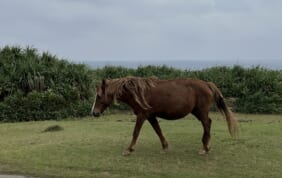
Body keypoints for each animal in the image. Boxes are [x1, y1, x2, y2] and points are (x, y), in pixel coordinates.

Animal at [91, 76, 237, 156]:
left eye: (99, 96)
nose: (94, 112)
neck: (138, 92)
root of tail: (207, 84)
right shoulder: (151, 116)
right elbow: (158, 130)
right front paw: (165, 147)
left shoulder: (142, 115)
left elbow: (136, 132)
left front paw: (129, 149)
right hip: (197, 111)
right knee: (208, 124)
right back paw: (206, 146)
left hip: (201, 111)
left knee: (207, 124)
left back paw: (205, 149)